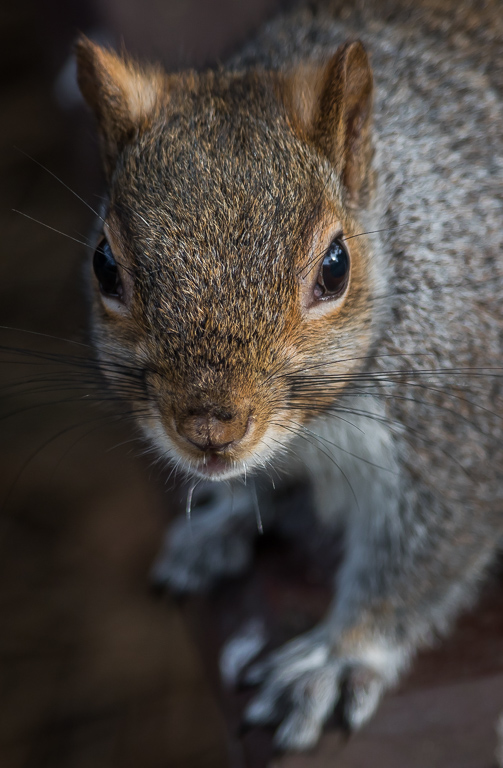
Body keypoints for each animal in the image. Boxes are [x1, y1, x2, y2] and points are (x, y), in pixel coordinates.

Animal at [75, 0, 503, 756]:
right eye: (104, 265)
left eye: (335, 267)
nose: (209, 426)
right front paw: (223, 518)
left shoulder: (457, 424)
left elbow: (422, 556)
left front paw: (338, 655)